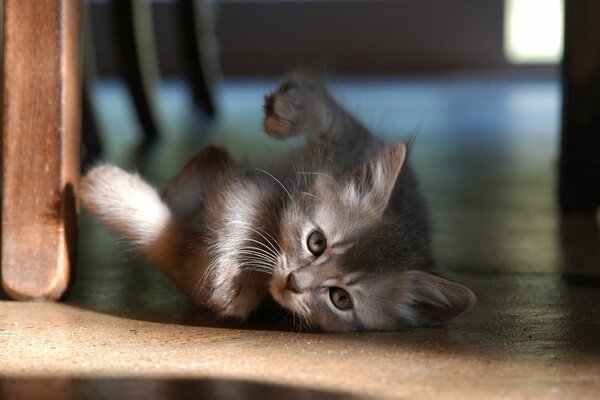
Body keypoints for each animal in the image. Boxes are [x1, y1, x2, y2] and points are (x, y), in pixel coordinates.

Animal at [79, 72, 476, 332]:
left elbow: (170, 243)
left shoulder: (194, 266)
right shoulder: (267, 180)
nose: (294, 283)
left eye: (341, 299)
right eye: (317, 242)